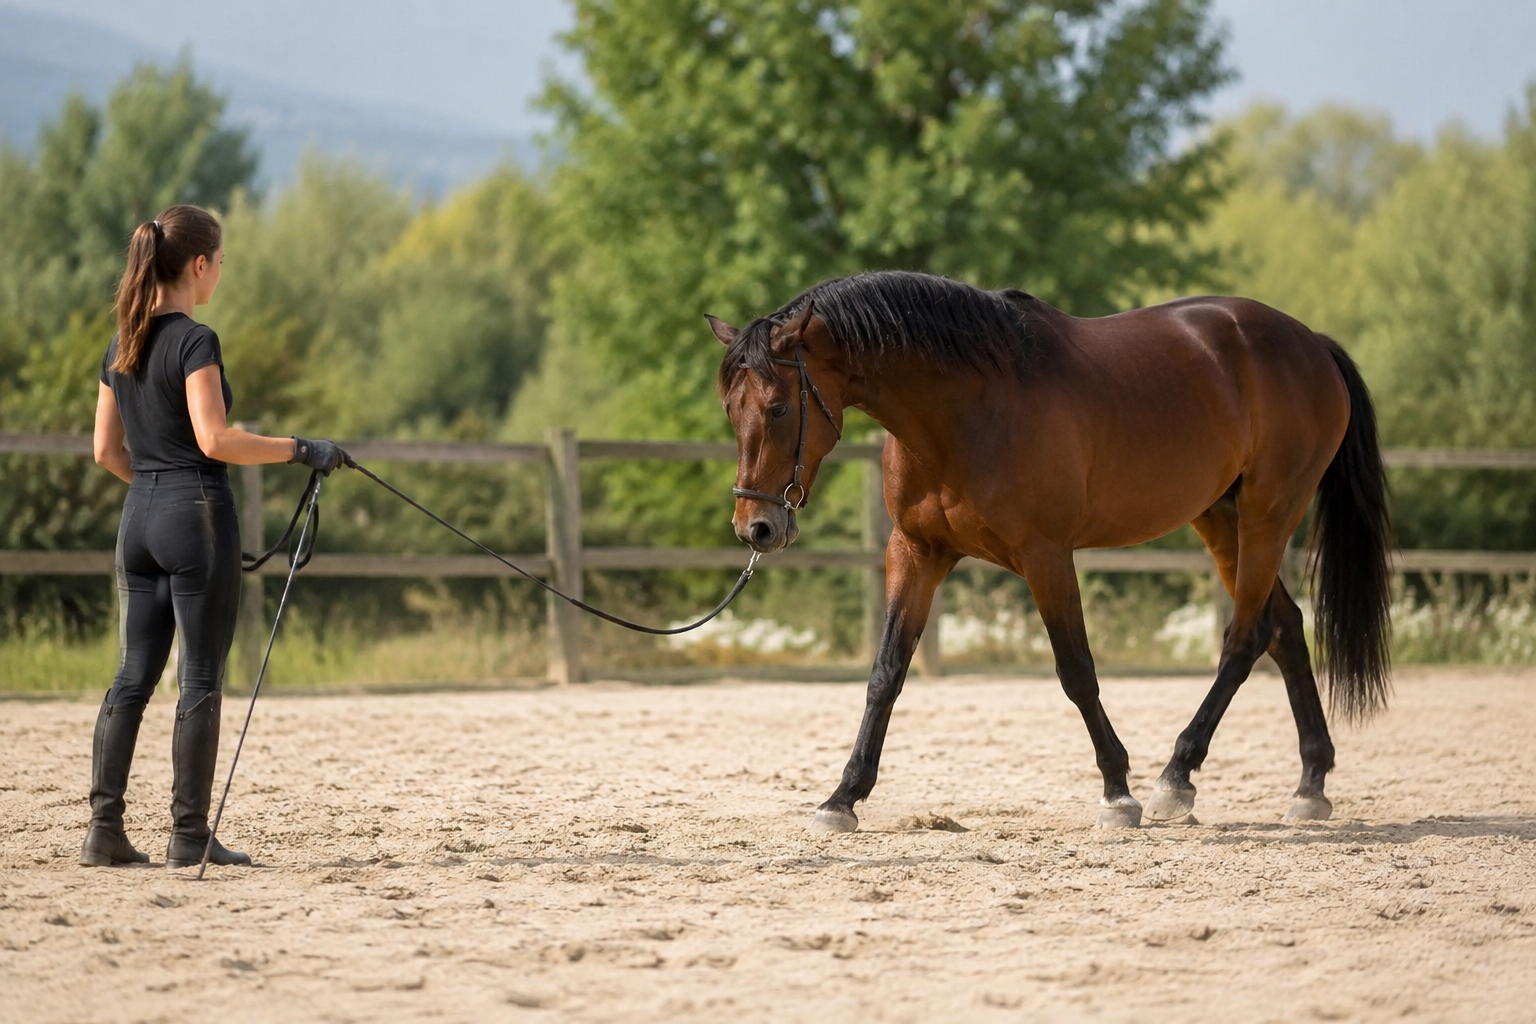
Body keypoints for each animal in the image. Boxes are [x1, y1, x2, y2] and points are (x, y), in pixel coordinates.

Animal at [709, 270, 1392, 831]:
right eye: (730, 410)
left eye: (777, 408)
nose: (756, 528)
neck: (964, 408)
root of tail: (1310, 344)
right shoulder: (916, 553)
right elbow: (885, 676)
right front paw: (843, 797)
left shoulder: (1046, 557)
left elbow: (1076, 670)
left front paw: (1118, 791)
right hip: (1221, 519)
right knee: (1287, 628)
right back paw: (1310, 784)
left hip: (1268, 515)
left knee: (1246, 638)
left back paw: (1177, 778)